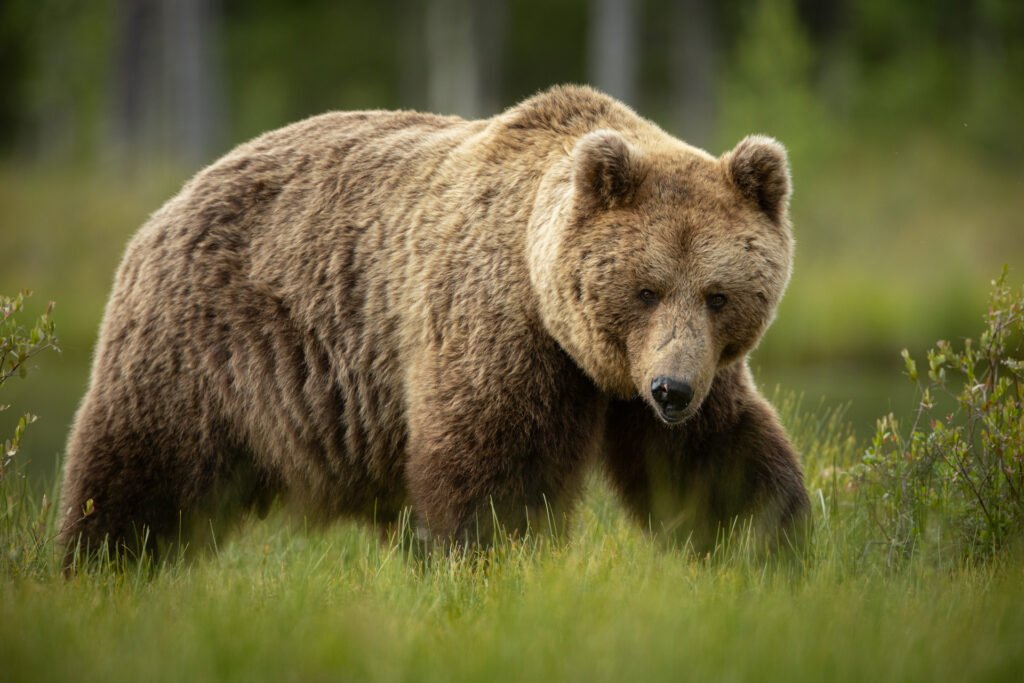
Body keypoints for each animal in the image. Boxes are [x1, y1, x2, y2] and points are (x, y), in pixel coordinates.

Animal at [58, 84, 808, 566]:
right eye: (645, 289)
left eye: (717, 295)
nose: (671, 391)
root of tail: (169, 204)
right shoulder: (501, 329)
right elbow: (495, 469)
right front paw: (498, 561)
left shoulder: (674, 374)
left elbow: (714, 462)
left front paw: (772, 545)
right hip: (204, 348)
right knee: (142, 472)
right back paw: (103, 564)